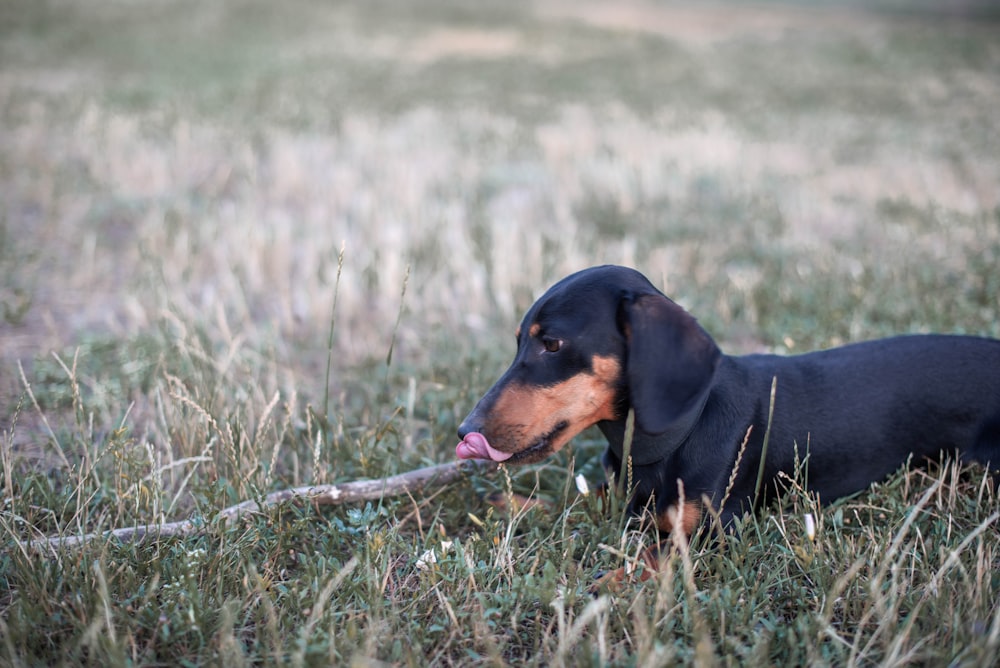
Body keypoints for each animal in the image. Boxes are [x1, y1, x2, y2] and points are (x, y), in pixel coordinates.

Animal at [456, 266, 1000, 548]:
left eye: (551, 344)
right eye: (520, 342)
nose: (466, 431)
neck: (675, 436)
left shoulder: (710, 537)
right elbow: (579, 498)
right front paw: (510, 503)